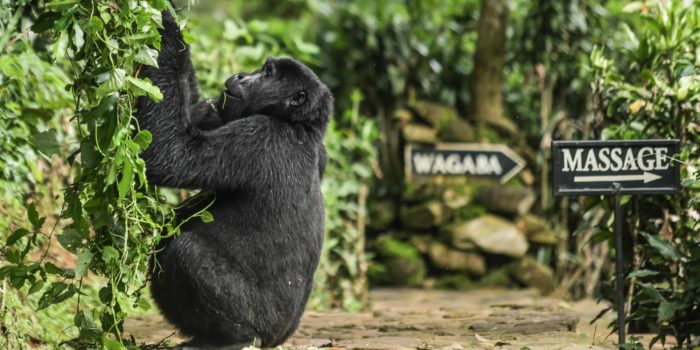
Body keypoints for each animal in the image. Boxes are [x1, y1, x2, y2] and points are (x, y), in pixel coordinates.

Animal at [137, 9, 334, 348]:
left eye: (267, 73)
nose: (242, 76)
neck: (300, 123)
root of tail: (279, 337)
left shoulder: (258, 137)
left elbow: (171, 153)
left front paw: (167, 23)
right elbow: (193, 110)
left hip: (260, 322)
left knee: (187, 253)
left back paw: (231, 338)